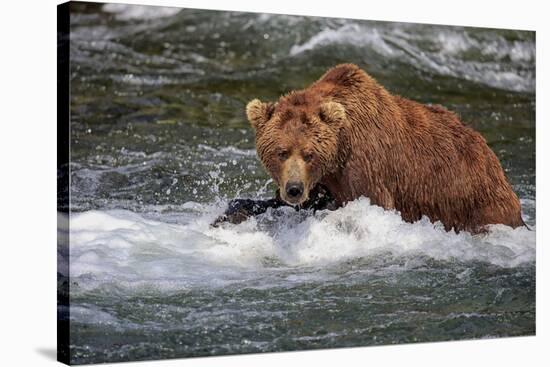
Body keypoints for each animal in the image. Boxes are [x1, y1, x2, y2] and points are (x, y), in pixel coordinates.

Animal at [213, 63, 524, 233]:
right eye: (282, 152)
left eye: (309, 153)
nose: (293, 189)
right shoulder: (322, 180)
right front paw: (228, 214)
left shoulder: (367, 167)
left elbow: (368, 204)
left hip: (471, 200)